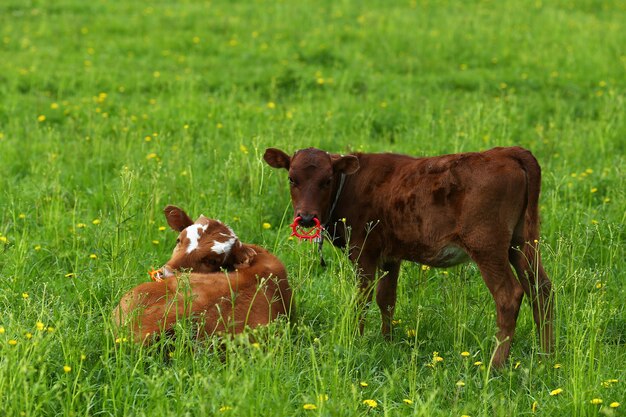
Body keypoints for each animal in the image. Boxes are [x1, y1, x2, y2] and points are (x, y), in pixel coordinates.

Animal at [262, 145, 552, 364]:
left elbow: (362, 301)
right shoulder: (390, 255)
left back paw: (496, 365)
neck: (351, 187)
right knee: (541, 288)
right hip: (522, 243)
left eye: (327, 180)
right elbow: (386, 299)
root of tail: (507, 152)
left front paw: (356, 341)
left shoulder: (363, 251)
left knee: (509, 295)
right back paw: (545, 354)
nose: (306, 217)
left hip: (487, 246)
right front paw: (387, 341)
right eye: (292, 179)